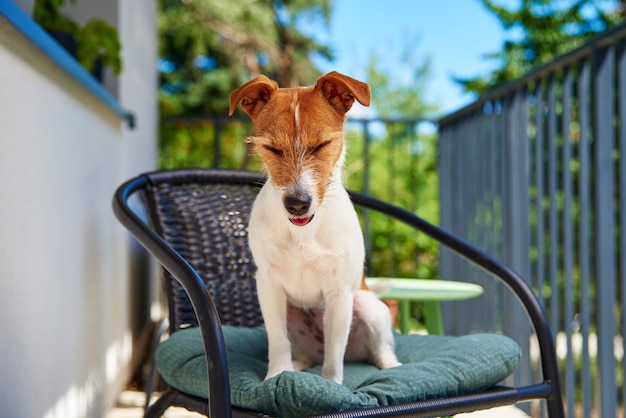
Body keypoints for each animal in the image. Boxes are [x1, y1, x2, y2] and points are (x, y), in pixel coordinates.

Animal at [229, 71, 400, 382]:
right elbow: (277, 340)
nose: (297, 204)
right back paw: (297, 365)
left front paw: (331, 385)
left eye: (321, 145)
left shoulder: (339, 293)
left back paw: (391, 366)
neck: (303, 231)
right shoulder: (268, 286)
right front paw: (276, 376)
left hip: (368, 306)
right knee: (302, 352)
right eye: (272, 148)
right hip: (293, 313)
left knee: (377, 349)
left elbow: (334, 356)